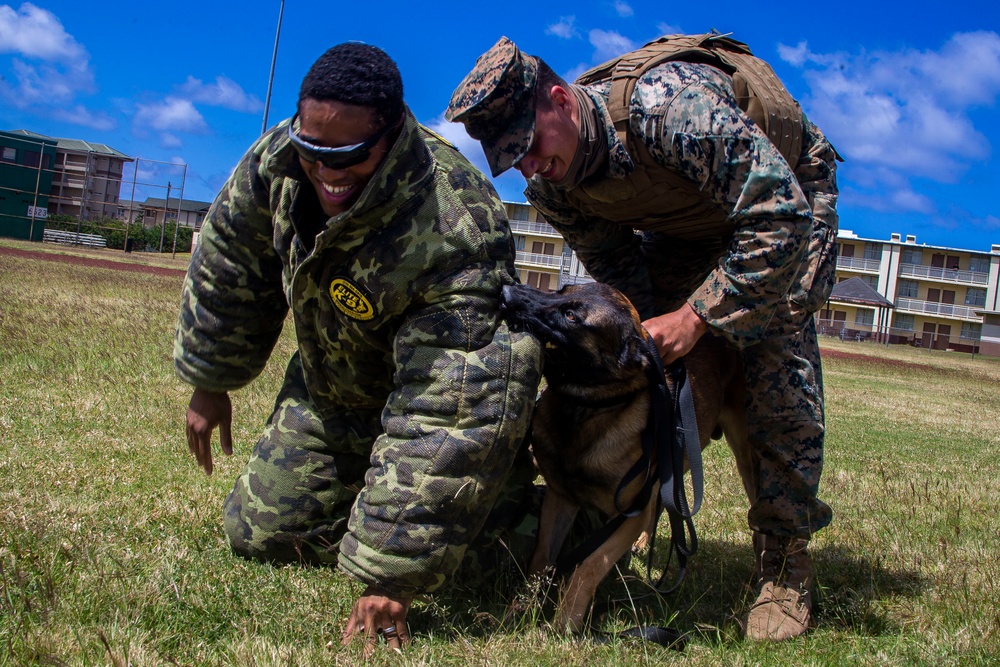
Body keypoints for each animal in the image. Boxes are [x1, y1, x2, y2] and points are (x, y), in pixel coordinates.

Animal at [500, 284, 752, 636]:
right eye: (561, 290)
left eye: (572, 316)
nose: (507, 291)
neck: (586, 410)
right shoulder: (560, 498)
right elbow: (542, 559)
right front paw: (523, 607)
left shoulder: (627, 516)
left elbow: (589, 566)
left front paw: (566, 623)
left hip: (744, 453)